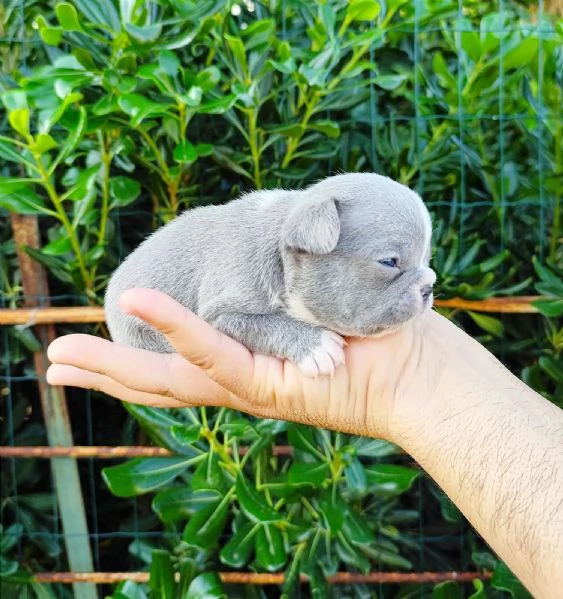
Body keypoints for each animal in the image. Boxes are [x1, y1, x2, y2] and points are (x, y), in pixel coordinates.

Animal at [104, 173, 436, 378]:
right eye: (390, 262)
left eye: (427, 259)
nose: (428, 286)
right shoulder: (220, 313)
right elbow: (264, 324)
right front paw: (316, 346)